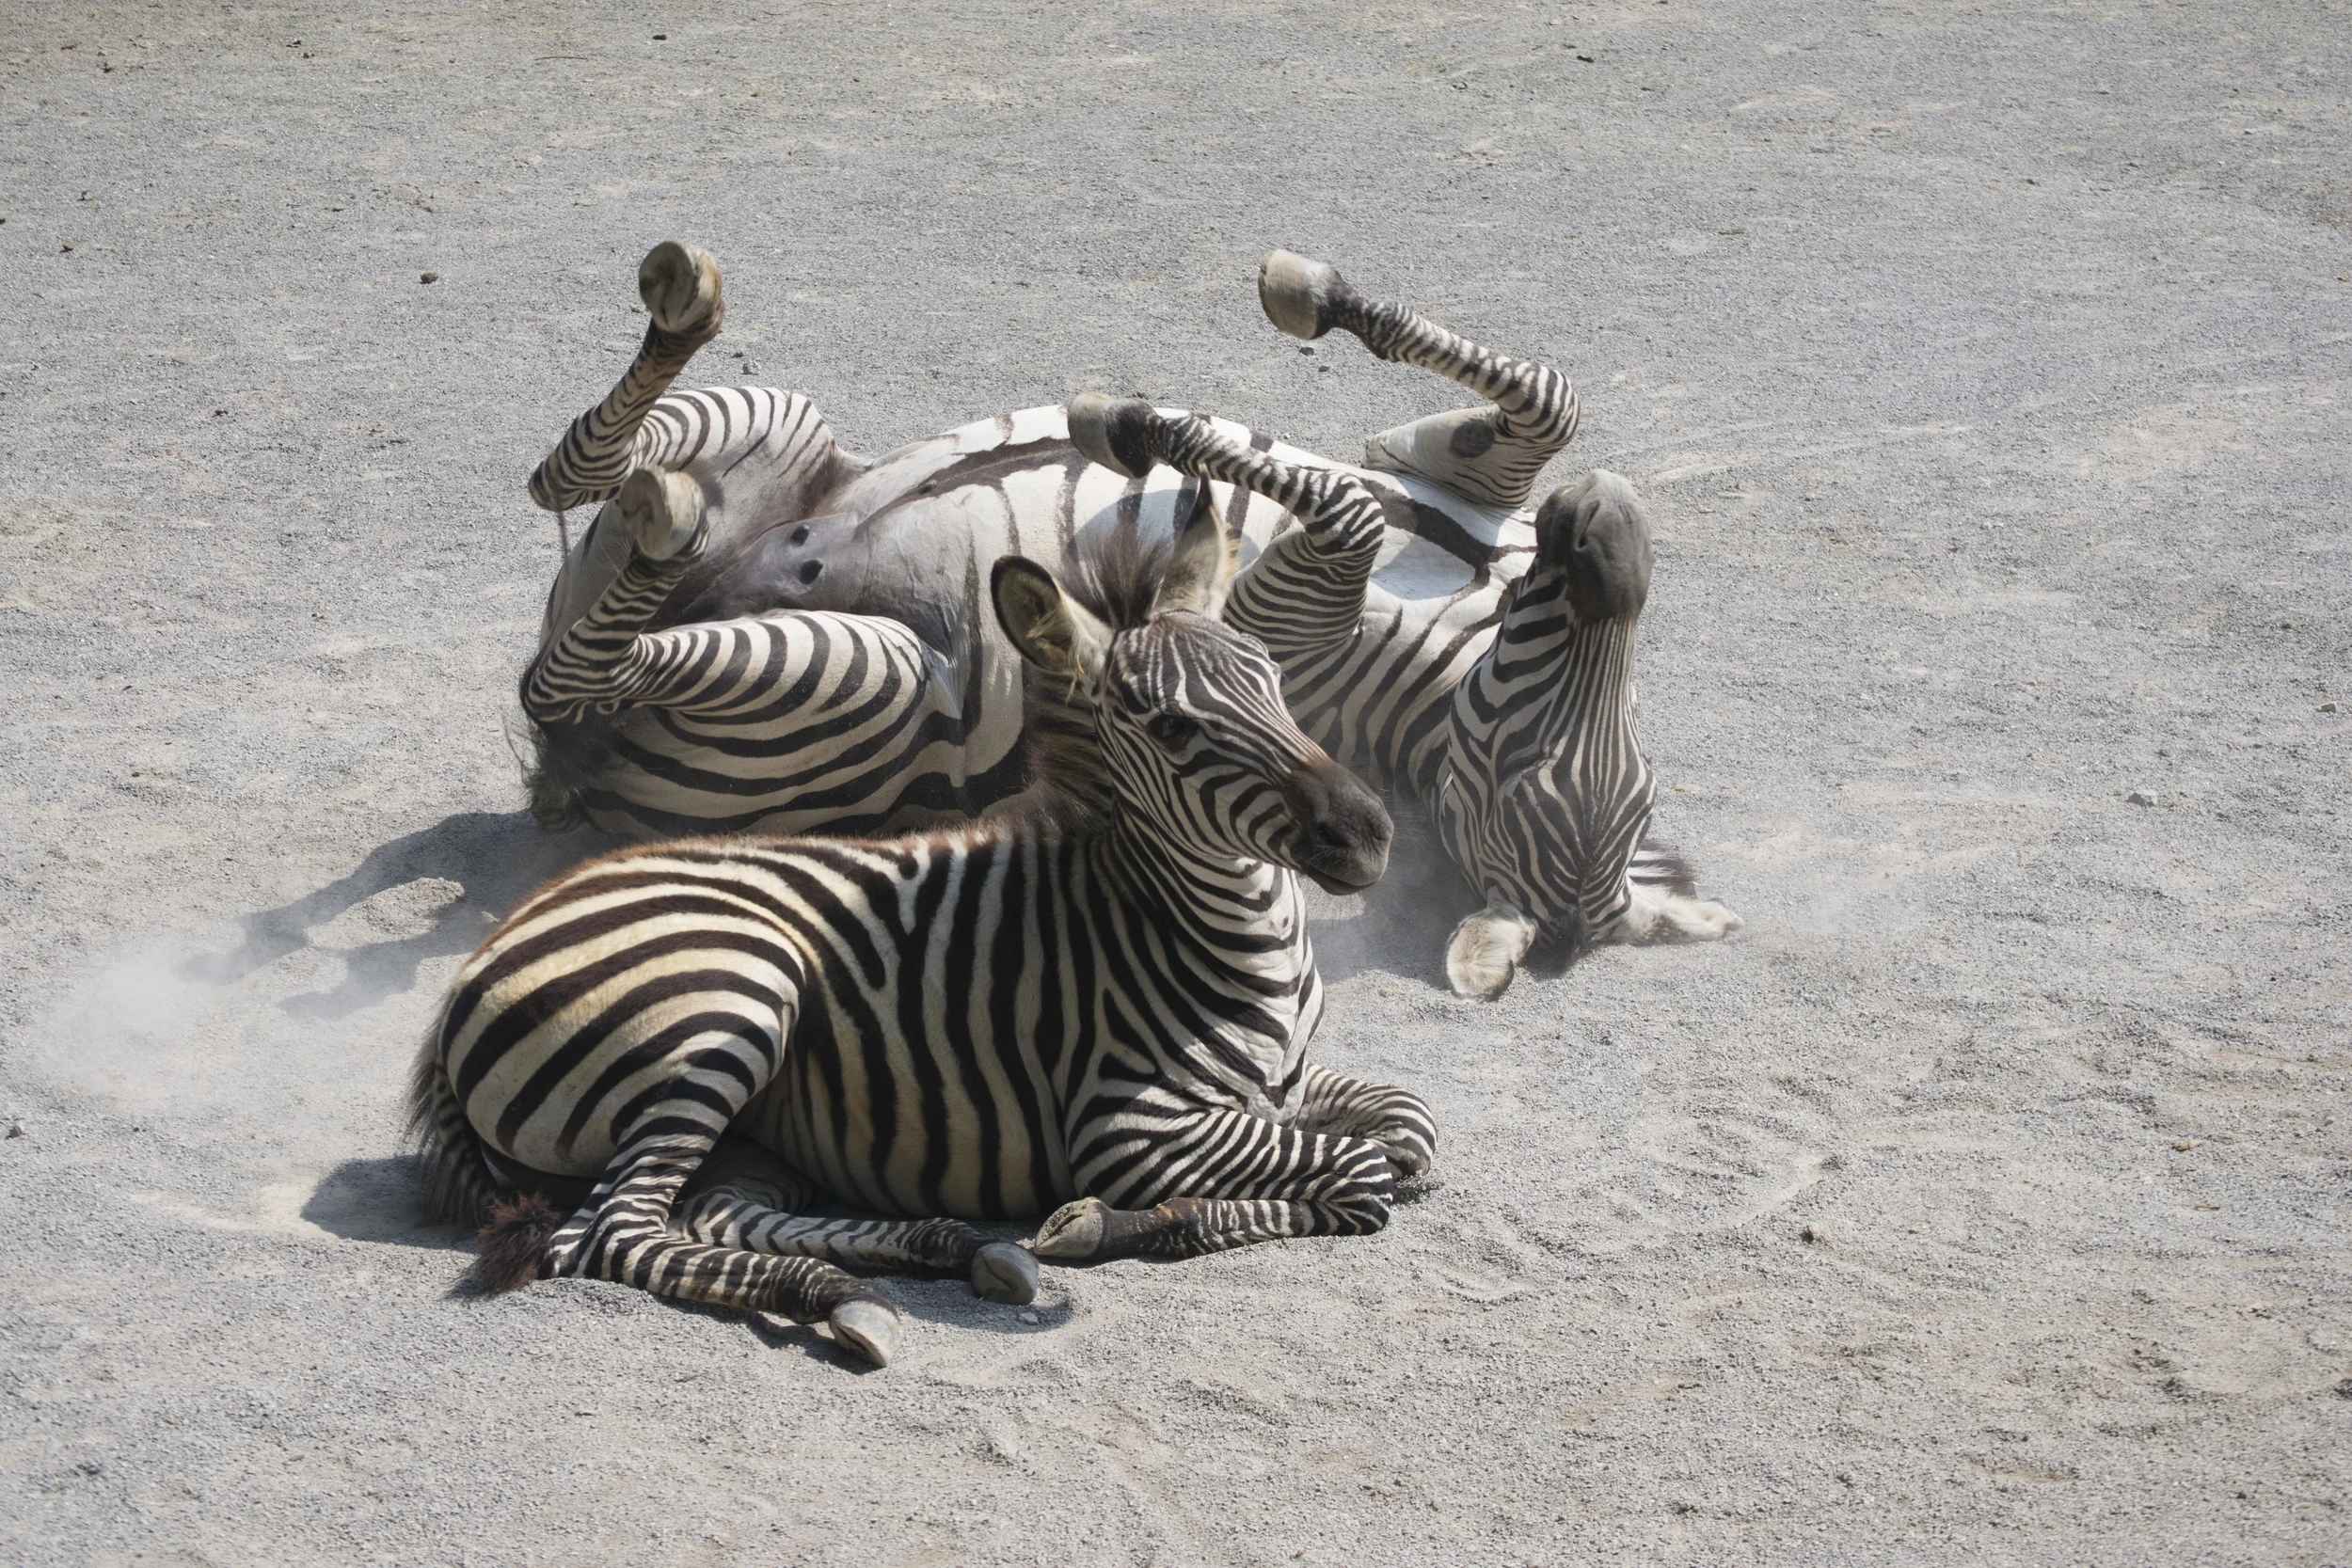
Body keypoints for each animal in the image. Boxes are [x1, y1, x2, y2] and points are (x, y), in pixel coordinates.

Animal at [412, 493, 1433, 1366]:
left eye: (1272, 677)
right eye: (1175, 729)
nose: (1368, 834)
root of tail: (498, 940)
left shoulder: (1287, 1085)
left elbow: (1407, 1131)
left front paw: (1113, 1223)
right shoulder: (1126, 1126)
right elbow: (1363, 1172)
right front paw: (1117, 1220)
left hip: (750, 1135)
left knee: (708, 1215)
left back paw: (943, 1249)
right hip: (731, 1005)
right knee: (610, 1236)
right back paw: (837, 1291)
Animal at [517, 241, 1738, 998]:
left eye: (1530, 781)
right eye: (1631, 785)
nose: (1607, 526)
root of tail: (568, 784)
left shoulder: (1267, 618)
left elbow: (1342, 505)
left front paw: (1130, 422)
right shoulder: (1448, 466)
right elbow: (1547, 394)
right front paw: (1301, 294)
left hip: (874, 678)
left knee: (572, 672)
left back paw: (661, 525)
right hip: (781, 427)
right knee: (563, 483)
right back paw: (679, 329)